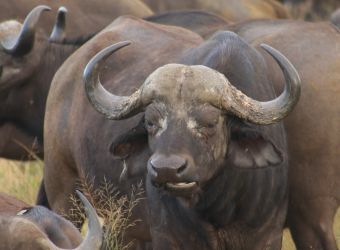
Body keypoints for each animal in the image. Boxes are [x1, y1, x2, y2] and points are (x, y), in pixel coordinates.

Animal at [43, 15, 300, 248]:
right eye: (150, 123)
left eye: (209, 123)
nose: (166, 169)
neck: (221, 204)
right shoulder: (167, 235)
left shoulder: (266, 234)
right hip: (64, 192)